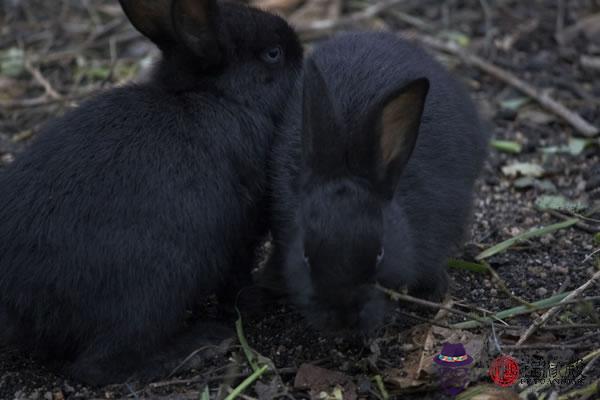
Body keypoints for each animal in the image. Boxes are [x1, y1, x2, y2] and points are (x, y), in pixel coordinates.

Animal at [0, 0, 300, 386]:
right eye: (273, 54)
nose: (303, 55)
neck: (221, 97)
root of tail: (17, 303)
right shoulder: (241, 234)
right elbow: (236, 279)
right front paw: (255, 301)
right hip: (154, 288)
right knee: (98, 365)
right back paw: (199, 345)